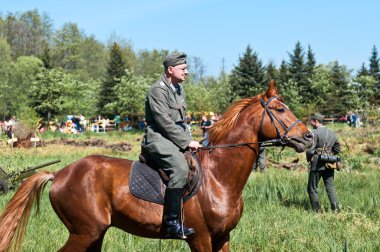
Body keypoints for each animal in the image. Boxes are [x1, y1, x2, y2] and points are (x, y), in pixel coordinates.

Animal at [0, 81, 314, 252]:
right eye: (280, 109)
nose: (309, 137)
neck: (219, 177)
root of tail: (60, 174)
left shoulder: (223, 237)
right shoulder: (200, 239)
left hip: (93, 233)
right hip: (84, 232)